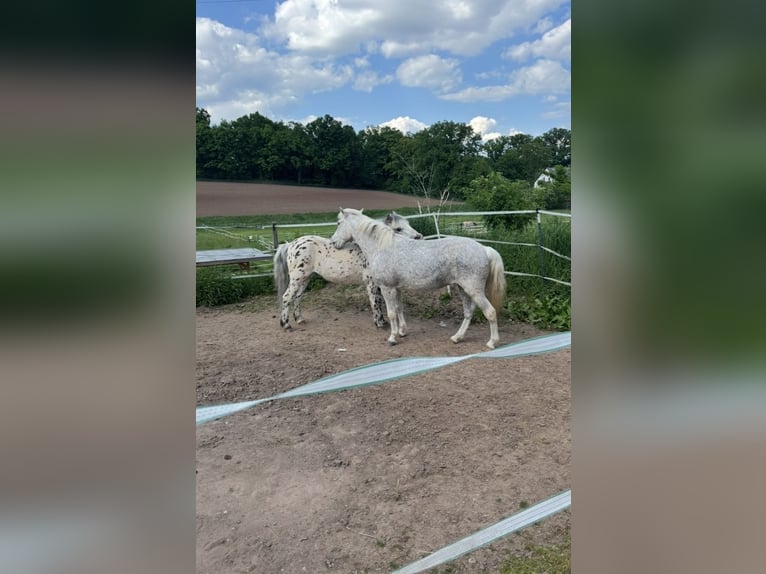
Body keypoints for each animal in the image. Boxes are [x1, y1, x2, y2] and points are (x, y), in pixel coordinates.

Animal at [274, 212, 422, 330]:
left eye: (408, 224)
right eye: (398, 229)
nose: (419, 237)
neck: (370, 249)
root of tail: (291, 244)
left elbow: (379, 301)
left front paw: (381, 321)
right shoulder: (371, 283)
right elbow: (375, 301)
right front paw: (379, 323)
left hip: (305, 278)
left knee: (297, 297)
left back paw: (299, 319)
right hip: (297, 278)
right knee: (286, 297)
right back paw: (286, 324)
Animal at [330, 208, 507, 349]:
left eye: (338, 223)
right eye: (399, 228)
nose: (333, 242)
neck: (382, 246)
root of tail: (484, 249)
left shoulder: (387, 288)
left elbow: (391, 313)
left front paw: (392, 338)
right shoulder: (397, 289)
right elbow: (399, 309)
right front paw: (402, 332)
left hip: (474, 290)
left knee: (490, 312)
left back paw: (492, 342)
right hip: (463, 289)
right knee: (468, 313)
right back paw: (457, 337)